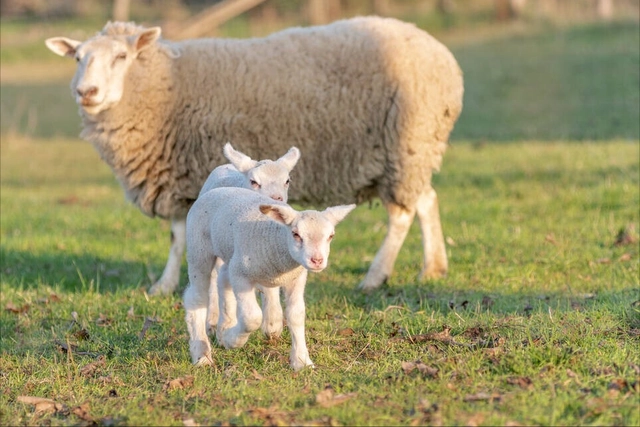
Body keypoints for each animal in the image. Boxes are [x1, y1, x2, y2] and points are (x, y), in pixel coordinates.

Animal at [46, 18, 464, 296]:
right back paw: (434, 268)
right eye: (78, 58)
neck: (166, 88)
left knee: (402, 215)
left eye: (121, 56)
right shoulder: (180, 176)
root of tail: (444, 56)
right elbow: (179, 234)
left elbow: (181, 237)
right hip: (414, 151)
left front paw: (171, 284)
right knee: (427, 199)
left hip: (407, 142)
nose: (87, 92)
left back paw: (374, 277)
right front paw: (164, 285)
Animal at [184, 187, 356, 372]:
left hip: (230, 256)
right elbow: (252, 318)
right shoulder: (240, 275)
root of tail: (217, 189)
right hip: (199, 250)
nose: (317, 261)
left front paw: (301, 361)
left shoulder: (296, 278)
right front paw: (233, 340)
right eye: (295, 234)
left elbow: (296, 314)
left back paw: (224, 328)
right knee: (196, 297)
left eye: (331, 236)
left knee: (223, 279)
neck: (277, 239)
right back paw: (202, 353)